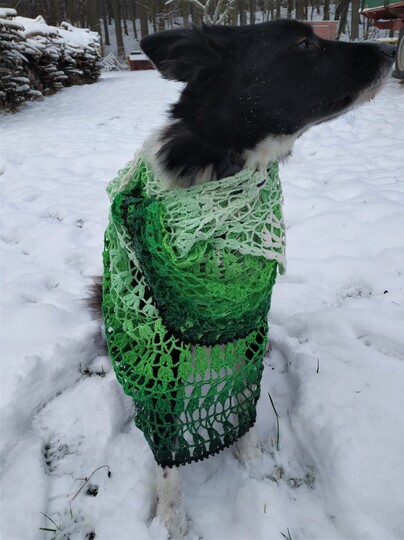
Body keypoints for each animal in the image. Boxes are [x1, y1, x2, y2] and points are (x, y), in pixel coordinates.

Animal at [90, 20, 395, 539]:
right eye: (303, 44)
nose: (390, 51)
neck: (223, 169)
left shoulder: (248, 318)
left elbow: (243, 399)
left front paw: (252, 464)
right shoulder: (158, 344)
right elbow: (167, 450)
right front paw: (171, 518)